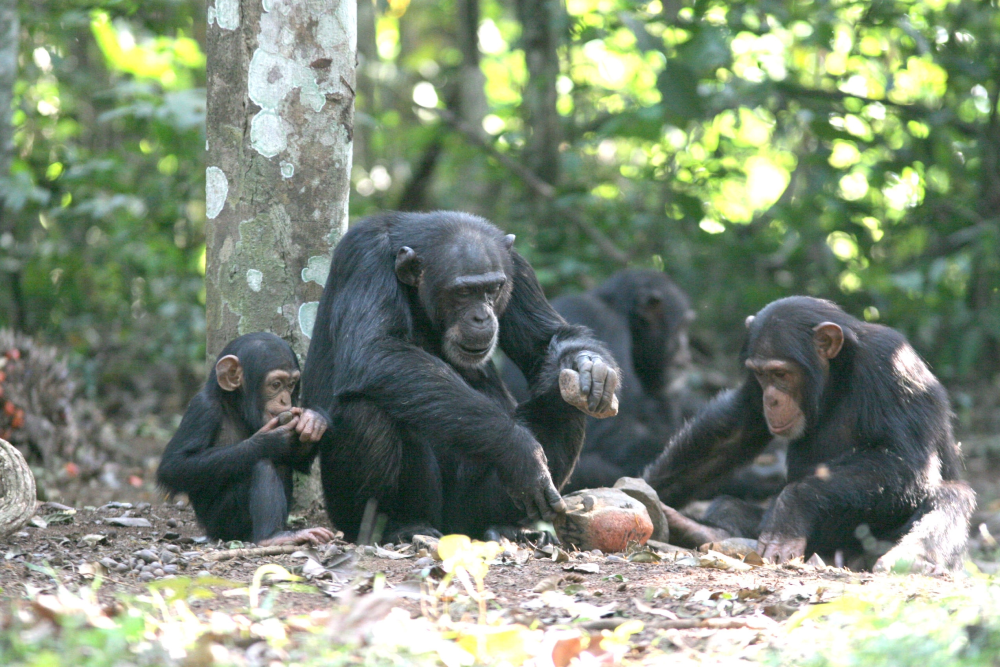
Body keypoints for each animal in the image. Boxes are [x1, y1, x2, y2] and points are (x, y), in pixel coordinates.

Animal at [158, 334, 334, 548]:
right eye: (276, 384)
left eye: (291, 384)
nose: (285, 400)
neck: (236, 407)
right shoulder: (203, 409)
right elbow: (175, 465)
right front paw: (268, 441)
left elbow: (297, 460)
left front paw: (313, 420)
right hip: (223, 523)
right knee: (262, 464)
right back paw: (273, 536)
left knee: (281, 464)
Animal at [300, 211, 620, 544]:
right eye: (463, 292)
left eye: (493, 289)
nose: (482, 316)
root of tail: (453, 529)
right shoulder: (364, 258)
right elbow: (374, 350)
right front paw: (521, 450)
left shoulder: (518, 269)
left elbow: (546, 342)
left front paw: (591, 366)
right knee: (365, 411)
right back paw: (398, 526)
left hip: (475, 507)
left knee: (564, 402)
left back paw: (507, 526)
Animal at [640, 298, 976, 576]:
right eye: (761, 375)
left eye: (781, 374)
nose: (771, 400)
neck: (836, 377)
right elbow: (735, 431)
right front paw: (644, 489)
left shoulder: (893, 367)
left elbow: (905, 461)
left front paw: (790, 511)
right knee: (726, 506)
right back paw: (703, 532)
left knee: (951, 494)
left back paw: (911, 559)